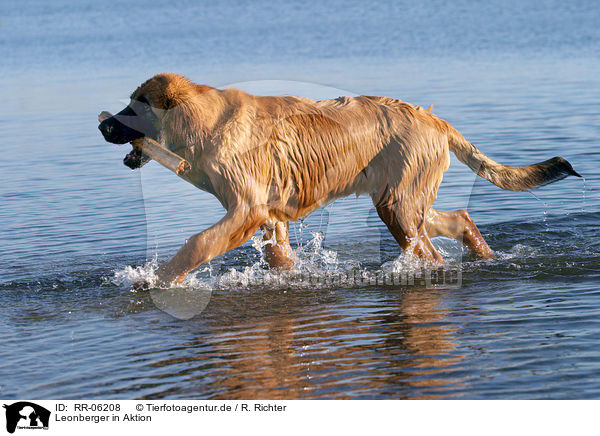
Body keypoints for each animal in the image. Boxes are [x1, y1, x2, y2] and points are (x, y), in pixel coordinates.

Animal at [98, 74, 580, 286]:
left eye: (135, 106)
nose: (102, 126)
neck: (204, 121)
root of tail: (434, 119)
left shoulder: (247, 210)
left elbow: (196, 244)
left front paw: (157, 280)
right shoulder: (270, 217)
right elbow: (281, 259)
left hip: (398, 208)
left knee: (431, 254)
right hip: (404, 201)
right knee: (459, 218)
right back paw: (485, 255)